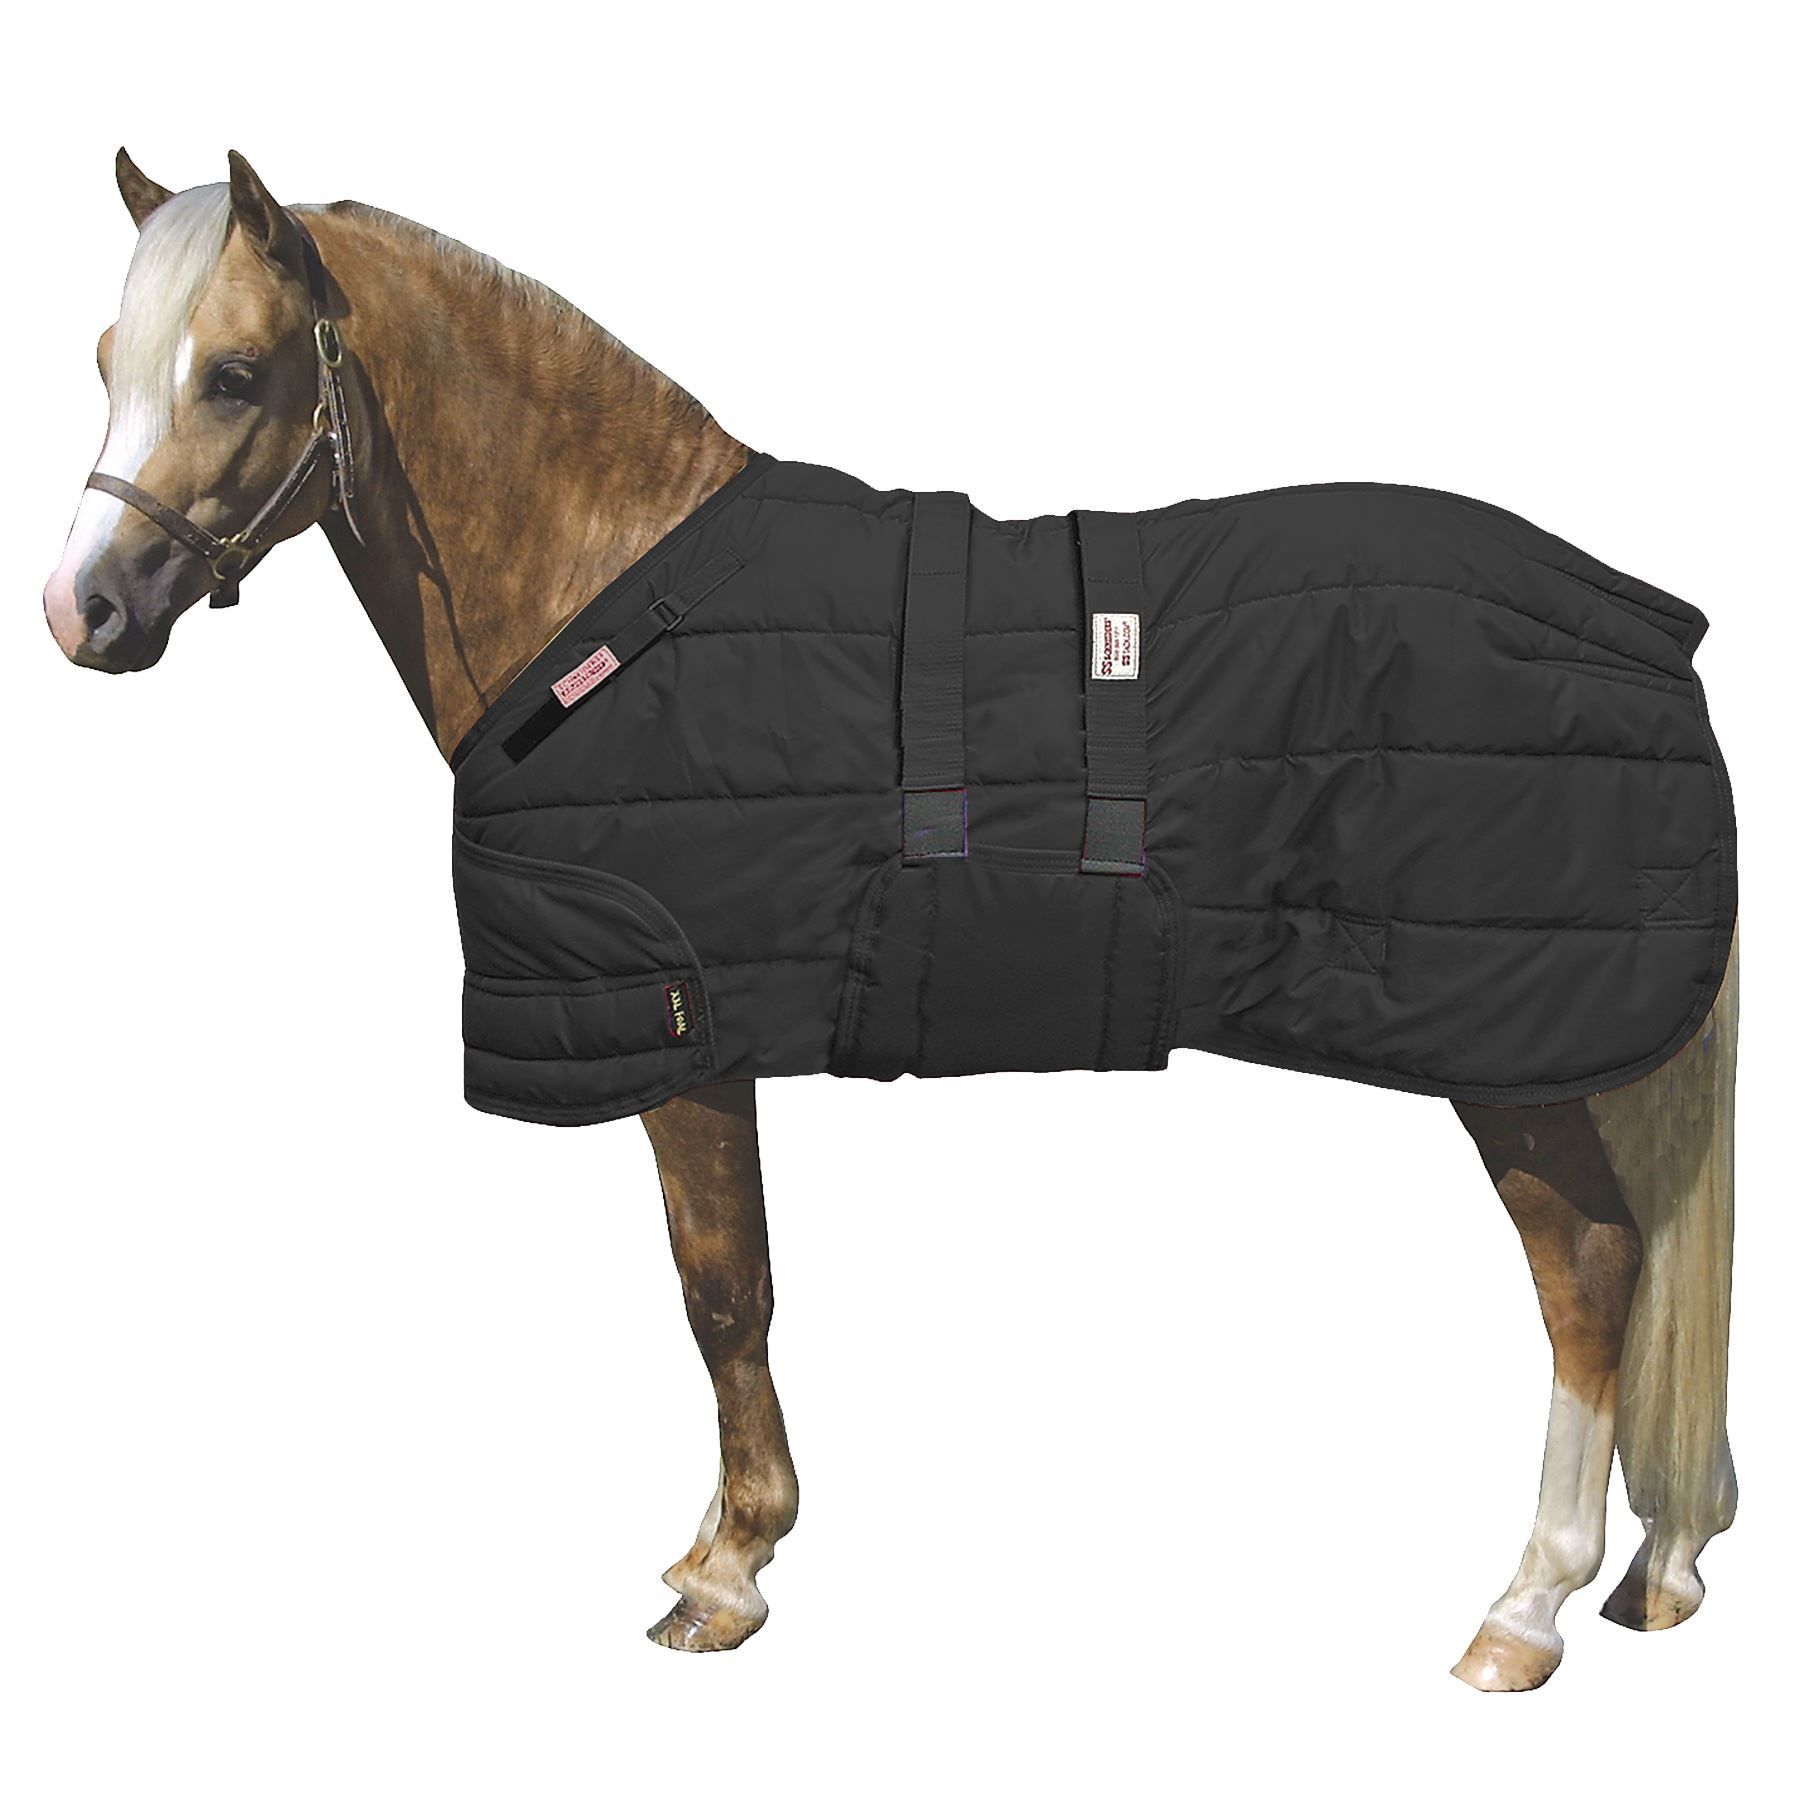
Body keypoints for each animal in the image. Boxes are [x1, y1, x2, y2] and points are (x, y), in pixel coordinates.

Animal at [43, 151, 1738, 1690]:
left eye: (236, 374)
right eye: (112, 361)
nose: (82, 610)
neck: (616, 601)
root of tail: (1648, 625)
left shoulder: (688, 1036)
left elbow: (724, 1294)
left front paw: (729, 1570)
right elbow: (726, 1291)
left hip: (1511, 1064)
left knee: (1593, 1269)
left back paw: (1526, 1609)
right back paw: (1659, 1569)